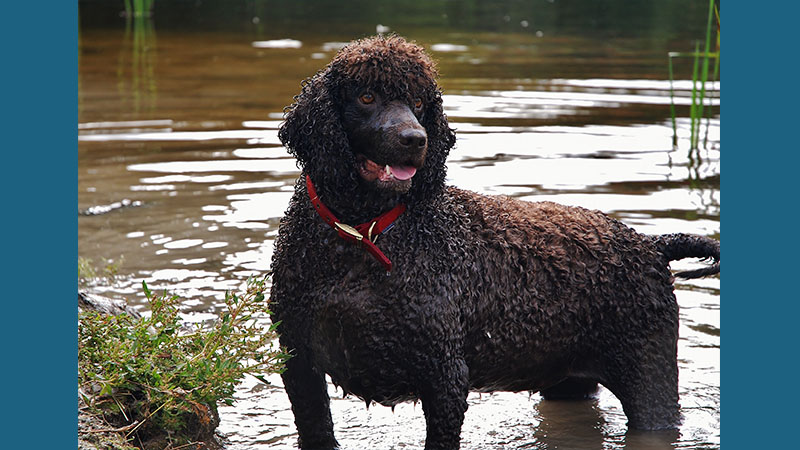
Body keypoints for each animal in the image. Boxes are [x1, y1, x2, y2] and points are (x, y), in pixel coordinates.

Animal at [272, 35, 720, 450]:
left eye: (418, 101)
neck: (362, 234)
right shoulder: (299, 364)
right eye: (367, 96)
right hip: (570, 381)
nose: (416, 139)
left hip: (649, 379)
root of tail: (651, 243)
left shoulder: (445, 378)